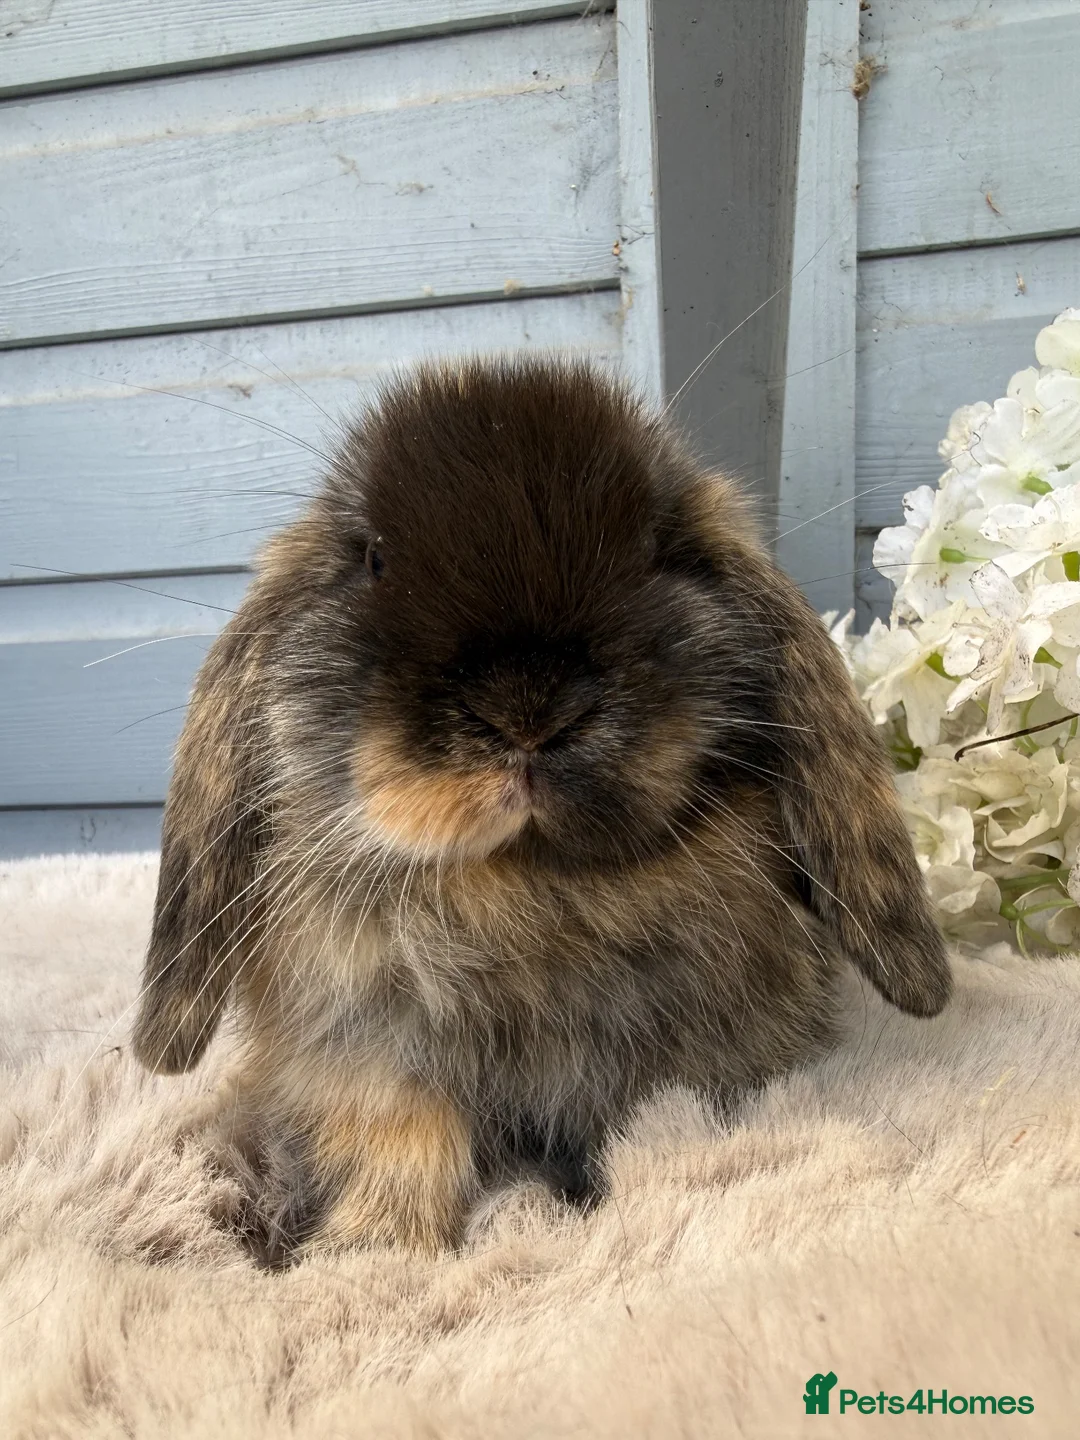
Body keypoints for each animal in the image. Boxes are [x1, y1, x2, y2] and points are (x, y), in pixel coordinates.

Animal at [132, 356, 950, 1262]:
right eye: (373, 556)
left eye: (659, 549)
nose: (528, 708)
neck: (524, 881)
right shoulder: (369, 1060)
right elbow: (404, 1145)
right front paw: (369, 1249)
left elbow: (662, 1138)